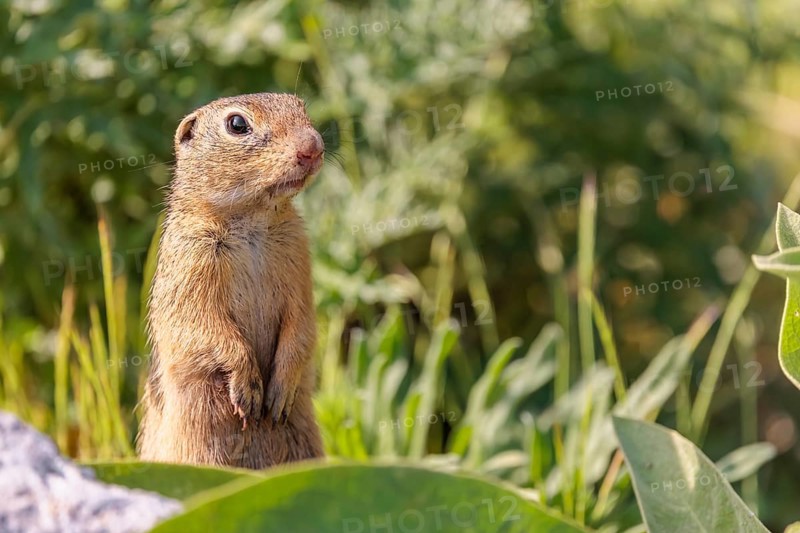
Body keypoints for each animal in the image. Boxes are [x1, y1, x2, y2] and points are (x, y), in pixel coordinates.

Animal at [136, 93, 324, 468]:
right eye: (237, 124)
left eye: (300, 105)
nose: (313, 147)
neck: (251, 218)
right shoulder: (190, 265)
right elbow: (203, 327)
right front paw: (248, 390)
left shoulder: (299, 263)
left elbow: (302, 328)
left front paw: (279, 393)